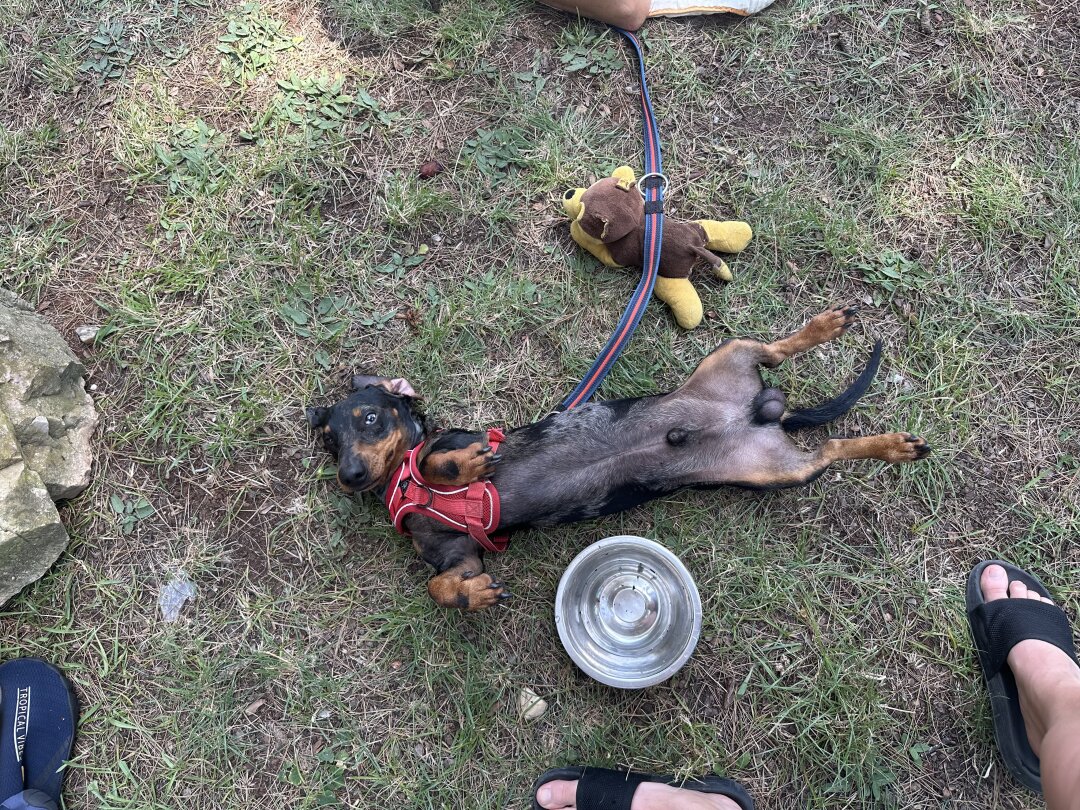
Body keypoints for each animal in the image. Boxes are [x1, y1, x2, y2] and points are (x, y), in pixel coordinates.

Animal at [308, 306, 933, 613]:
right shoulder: (460, 556)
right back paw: (890, 444)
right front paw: (474, 596)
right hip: (776, 466)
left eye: (370, 419)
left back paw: (832, 341)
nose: (350, 476)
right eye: (331, 442)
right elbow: (443, 585)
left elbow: (442, 459)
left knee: (779, 352)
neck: (401, 486)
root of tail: (764, 412)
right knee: (827, 444)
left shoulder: (454, 439)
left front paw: (463, 468)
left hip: (734, 362)